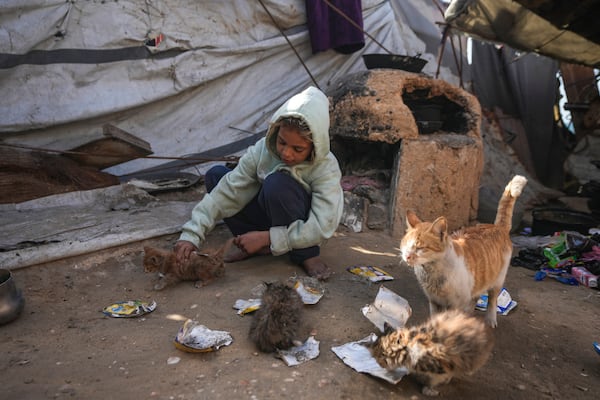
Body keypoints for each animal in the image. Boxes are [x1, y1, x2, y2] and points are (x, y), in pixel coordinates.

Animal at [400, 175, 528, 328]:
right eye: (406, 245)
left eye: (420, 247)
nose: (407, 256)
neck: (432, 272)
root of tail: (497, 227)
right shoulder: (434, 302)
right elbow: (435, 320)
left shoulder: (455, 304)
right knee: (476, 297)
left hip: (497, 281)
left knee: (492, 300)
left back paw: (490, 319)